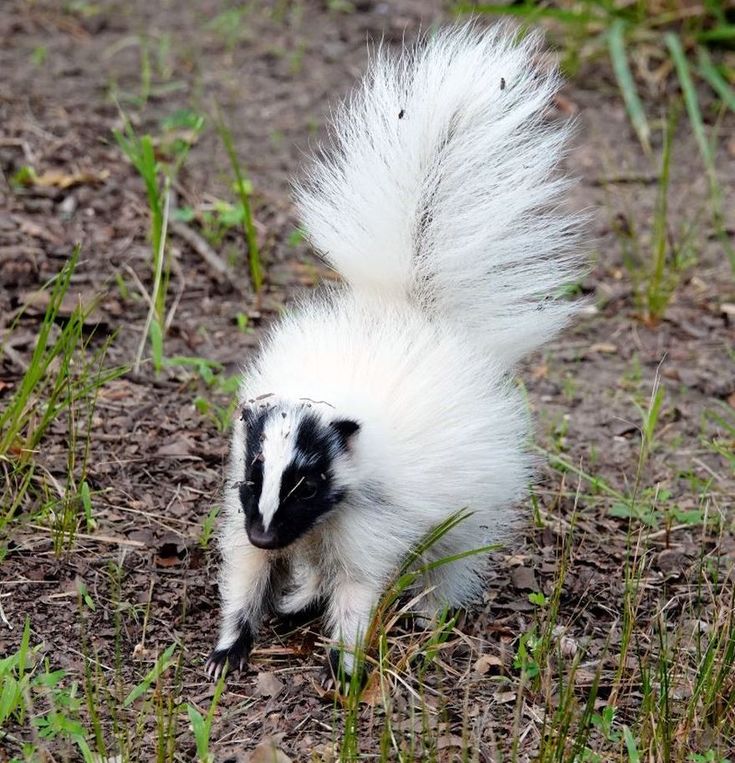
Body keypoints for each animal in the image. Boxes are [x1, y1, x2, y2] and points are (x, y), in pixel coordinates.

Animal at [206, 23, 580, 680]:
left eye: (308, 482)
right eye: (254, 473)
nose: (267, 534)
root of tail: (413, 311)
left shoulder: (367, 513)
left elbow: (359, 582)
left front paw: (346, 660)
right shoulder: (256, 509)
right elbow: (247, 570)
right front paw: (231, 646)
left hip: (473, 489)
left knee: (456, 549)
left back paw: (431, 611)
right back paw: (302, 597)